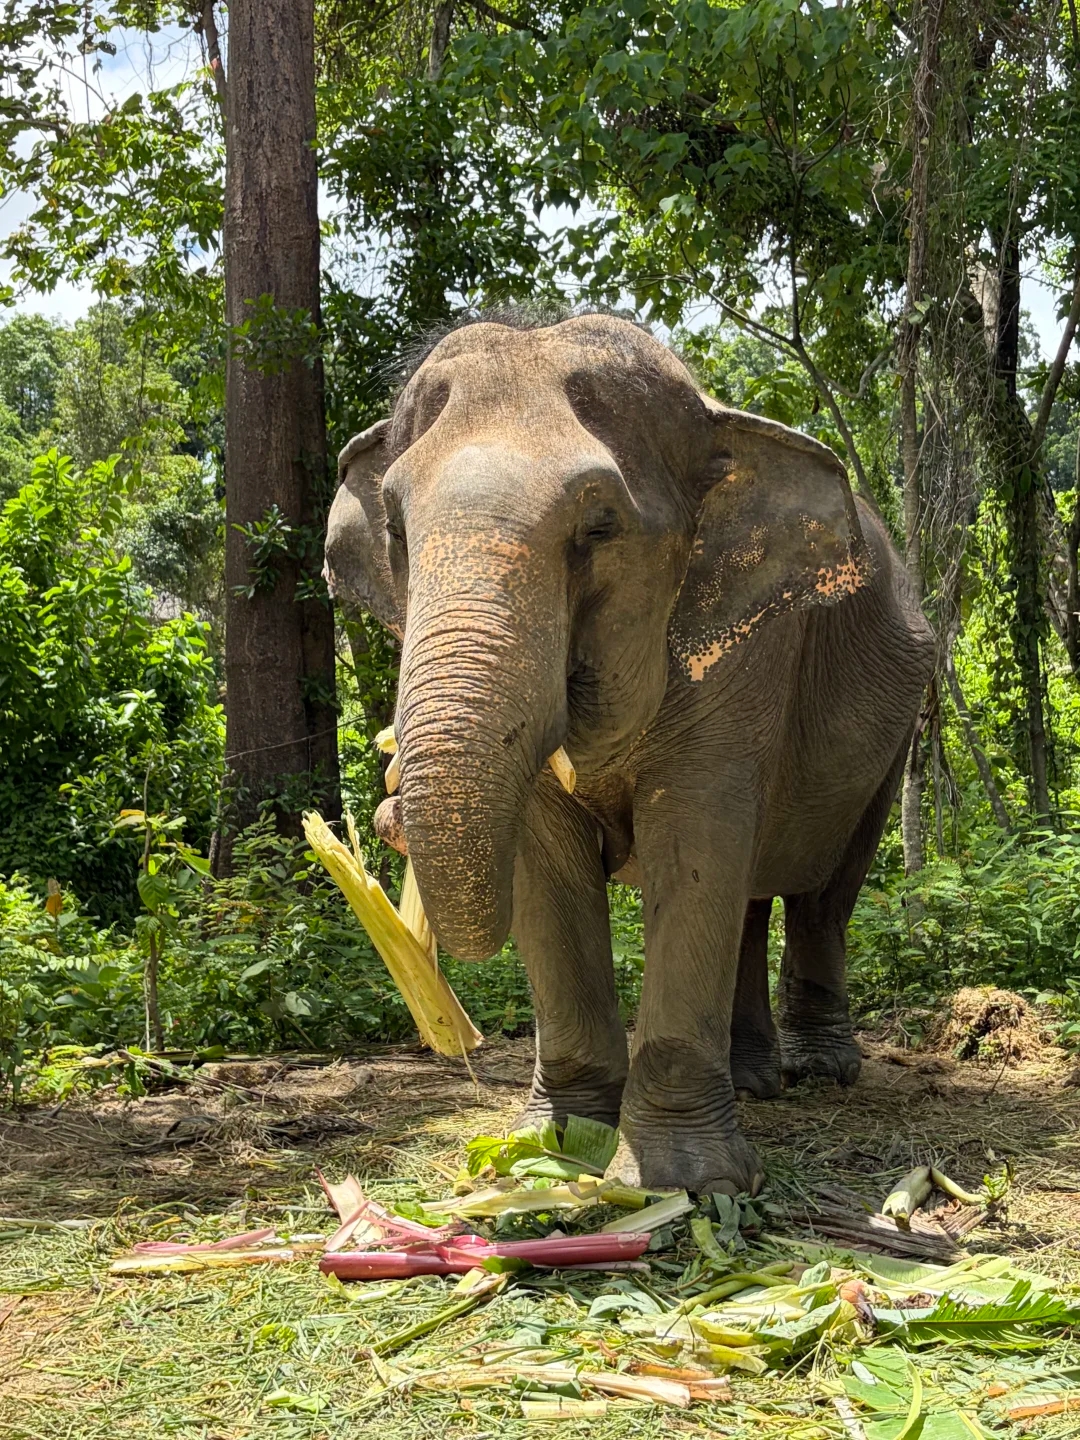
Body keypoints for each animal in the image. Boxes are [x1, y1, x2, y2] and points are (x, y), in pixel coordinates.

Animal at [324, 312, 935, 1196]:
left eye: (599, 527)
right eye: (398, 532)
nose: (386, 812)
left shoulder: (746, 651)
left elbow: (694, 843)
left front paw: (691, 1184)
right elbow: (547, 864)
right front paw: (551, 1150)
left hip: (899, 723)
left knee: (823, 890)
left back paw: (821, 1072)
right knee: (752, 898)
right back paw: (752, 1080)